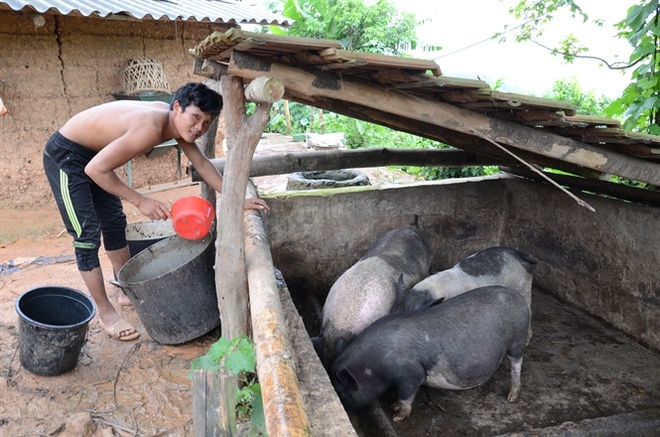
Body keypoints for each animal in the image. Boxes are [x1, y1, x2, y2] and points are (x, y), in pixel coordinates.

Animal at [330, 284, 532, 420]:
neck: (372, 366)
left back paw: (511, 397)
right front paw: (394, 406)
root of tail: (518, 298)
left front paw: (397, 415)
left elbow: (407, 393)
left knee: (517, 363)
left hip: (517, 339)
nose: (345, 410)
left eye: (341, 392)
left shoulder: (412, 373)